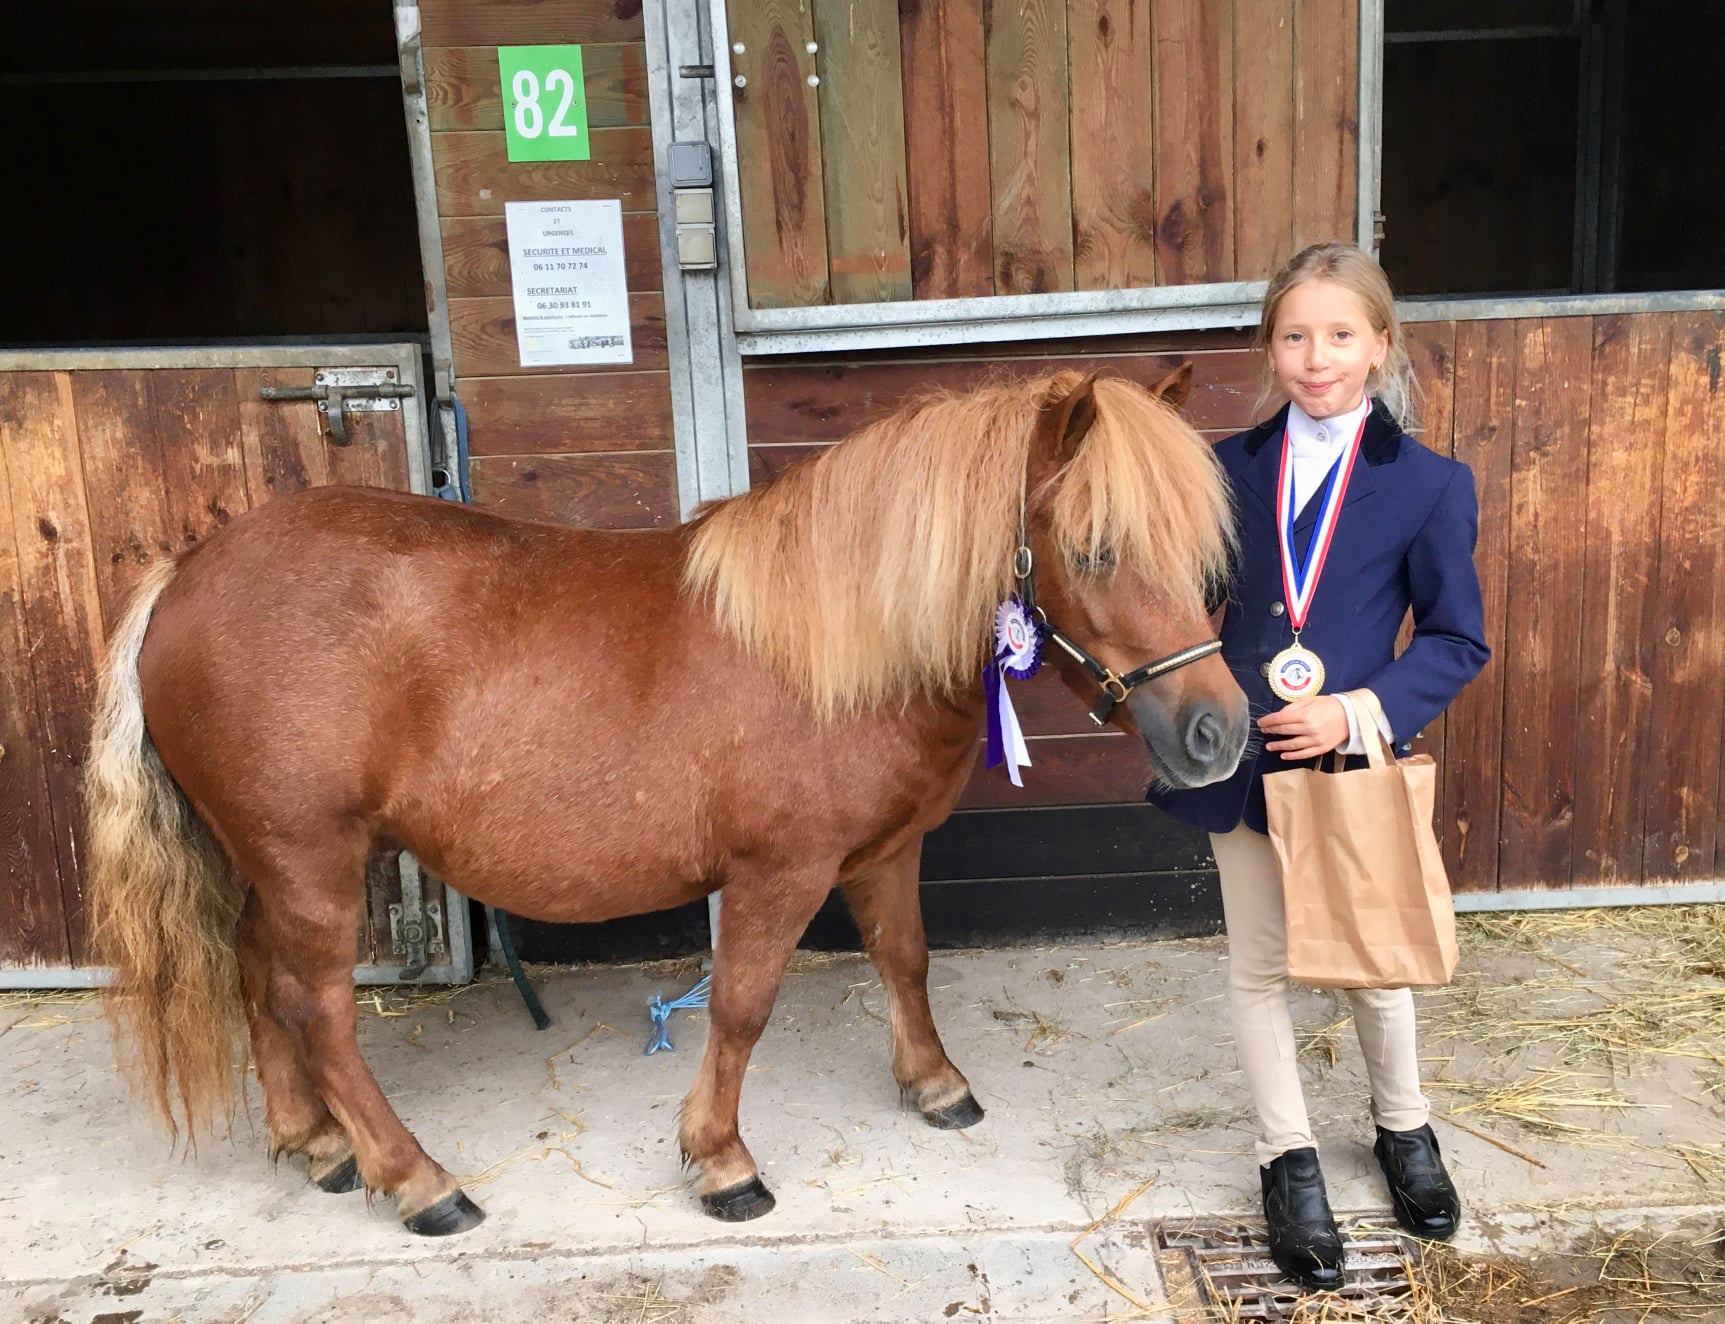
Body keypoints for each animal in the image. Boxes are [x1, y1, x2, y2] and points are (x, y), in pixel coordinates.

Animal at [87, 362, 1248, 1227]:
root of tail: (185, 575)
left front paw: (934, 1084)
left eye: (1200, 553)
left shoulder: (884, 851)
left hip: (273, 858)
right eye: (1093, 549)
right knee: (318, 1006)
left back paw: (316, 1142)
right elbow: (739, 1006)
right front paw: (722, 1160)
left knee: (254, 972)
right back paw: (416, 1181)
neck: (831, 649)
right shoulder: (779, 873)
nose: (1219, 734)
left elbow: (905, 961)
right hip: (310, 856)